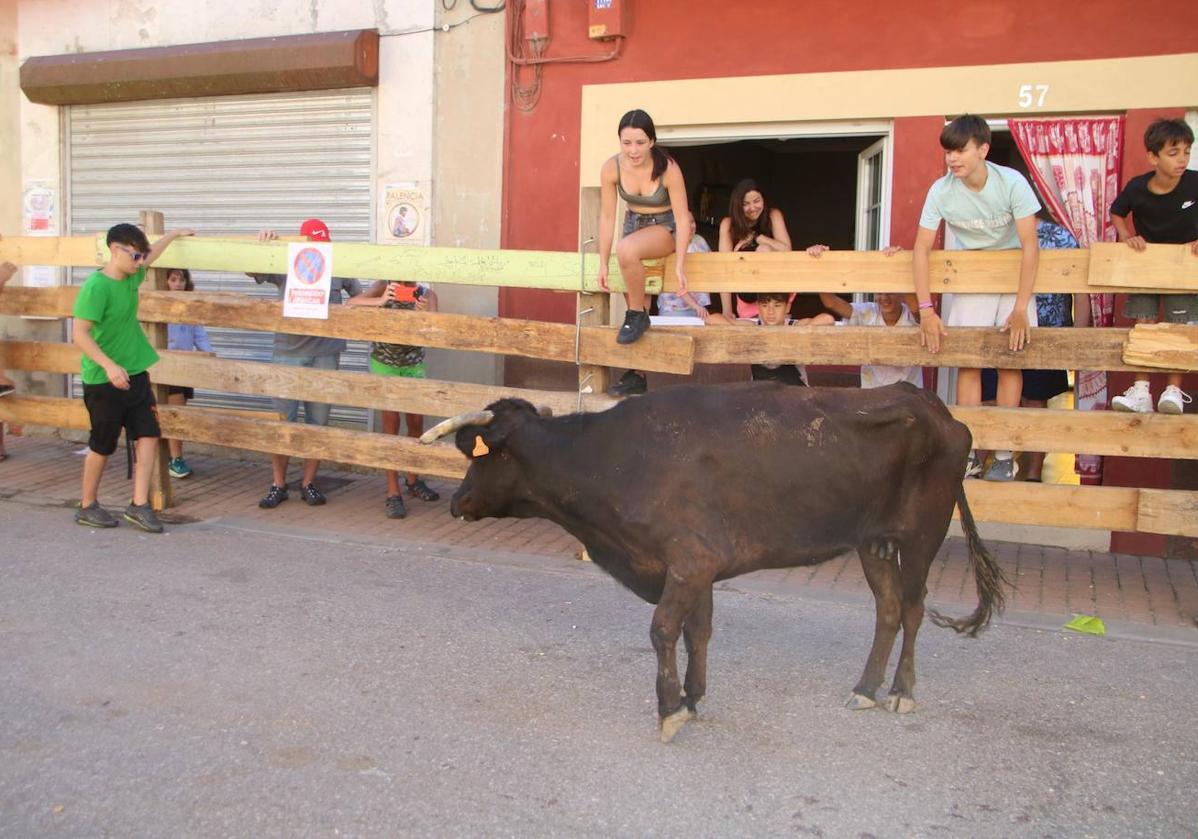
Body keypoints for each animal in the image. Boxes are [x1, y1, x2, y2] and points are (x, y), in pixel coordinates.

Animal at [421, 381, 1001, 738]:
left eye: (480, 453)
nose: (457, 501)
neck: (612, 459)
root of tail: (930, 404)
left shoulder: (690, 561)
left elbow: (662, 631)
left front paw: (669, 709)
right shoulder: (697, 567)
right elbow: (696, 632)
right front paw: (693, 698)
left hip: (922, 534)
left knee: (913, 609)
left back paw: (901, 692)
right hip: (872, 541)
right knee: (887, 610)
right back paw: (864, 689)